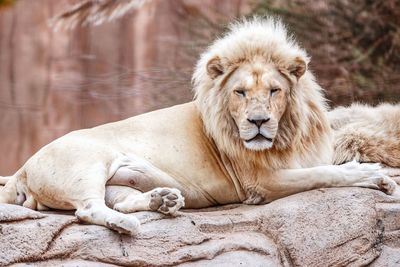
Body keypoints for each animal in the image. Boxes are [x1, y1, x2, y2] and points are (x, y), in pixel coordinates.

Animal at [0, 17, 396, 236]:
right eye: (239, 92)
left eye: (274, 91)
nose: (258, 122)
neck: (286, 133)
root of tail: (22, 168)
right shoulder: (260, 182)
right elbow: (324, 174)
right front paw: (373, 174)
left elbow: (326, 165)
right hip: (88, 164)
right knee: (88, 210)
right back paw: (132, 225)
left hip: (118, 181)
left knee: (120, 202)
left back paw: (163, 200)